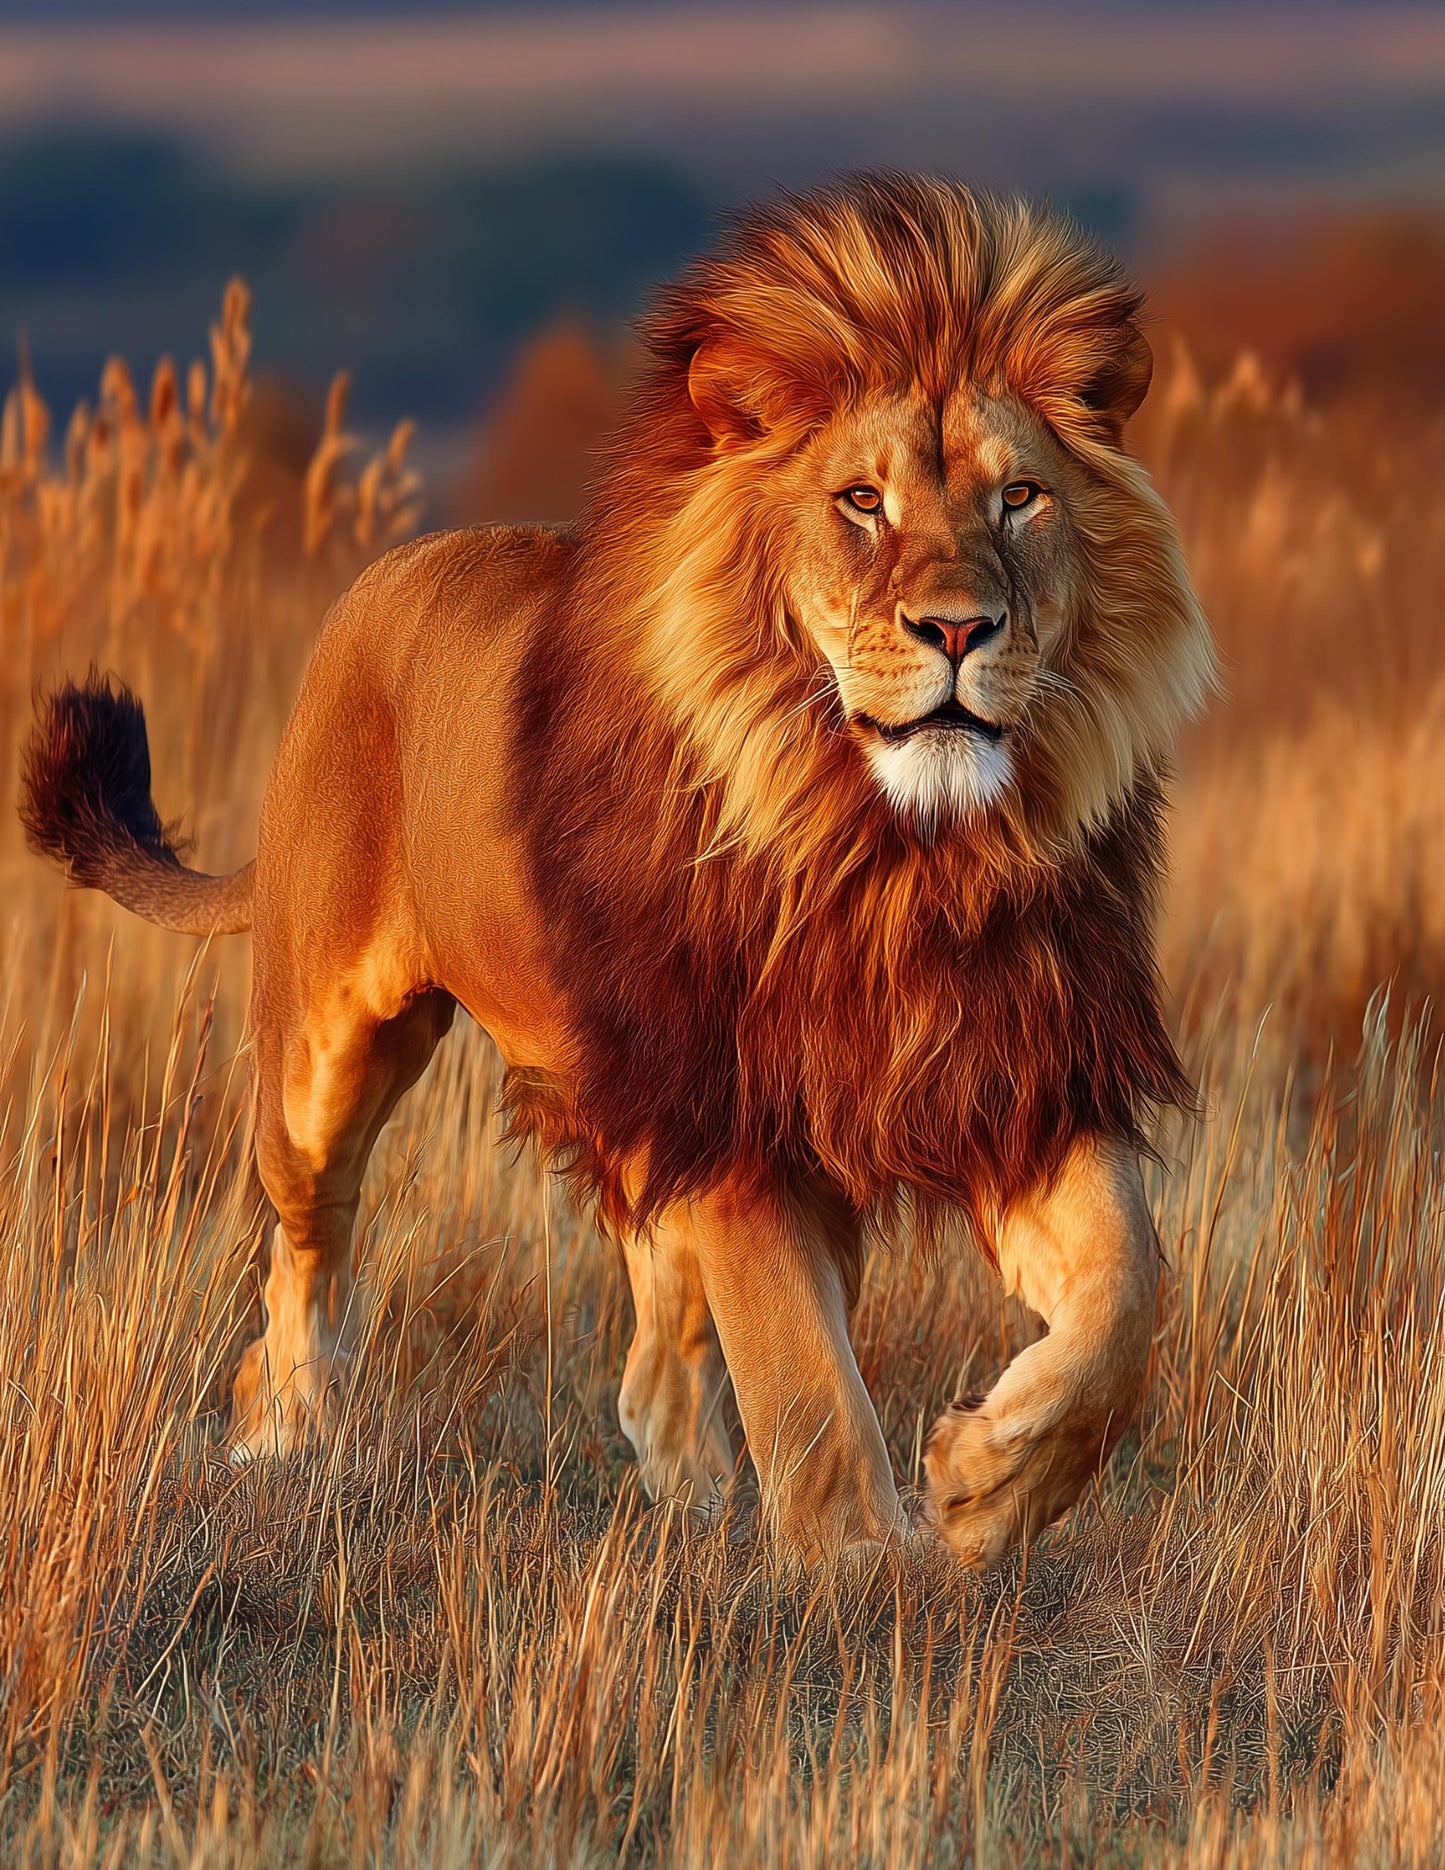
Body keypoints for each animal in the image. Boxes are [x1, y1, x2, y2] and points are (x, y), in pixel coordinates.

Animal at [20, 174, 1214, 1568]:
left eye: (1018, 497)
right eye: (861, 502)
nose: (959, 629)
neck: (890, 852)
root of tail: (379, 582)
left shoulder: (1012, 1071)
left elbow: (1126, 1296)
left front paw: (984, 1485)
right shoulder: (734, 1110)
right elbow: (806, 1380)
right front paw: (860, 1569)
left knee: (655, 1340)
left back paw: (688, 1487)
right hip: (320, 1056)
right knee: (303, 1255)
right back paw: (287, 1436)